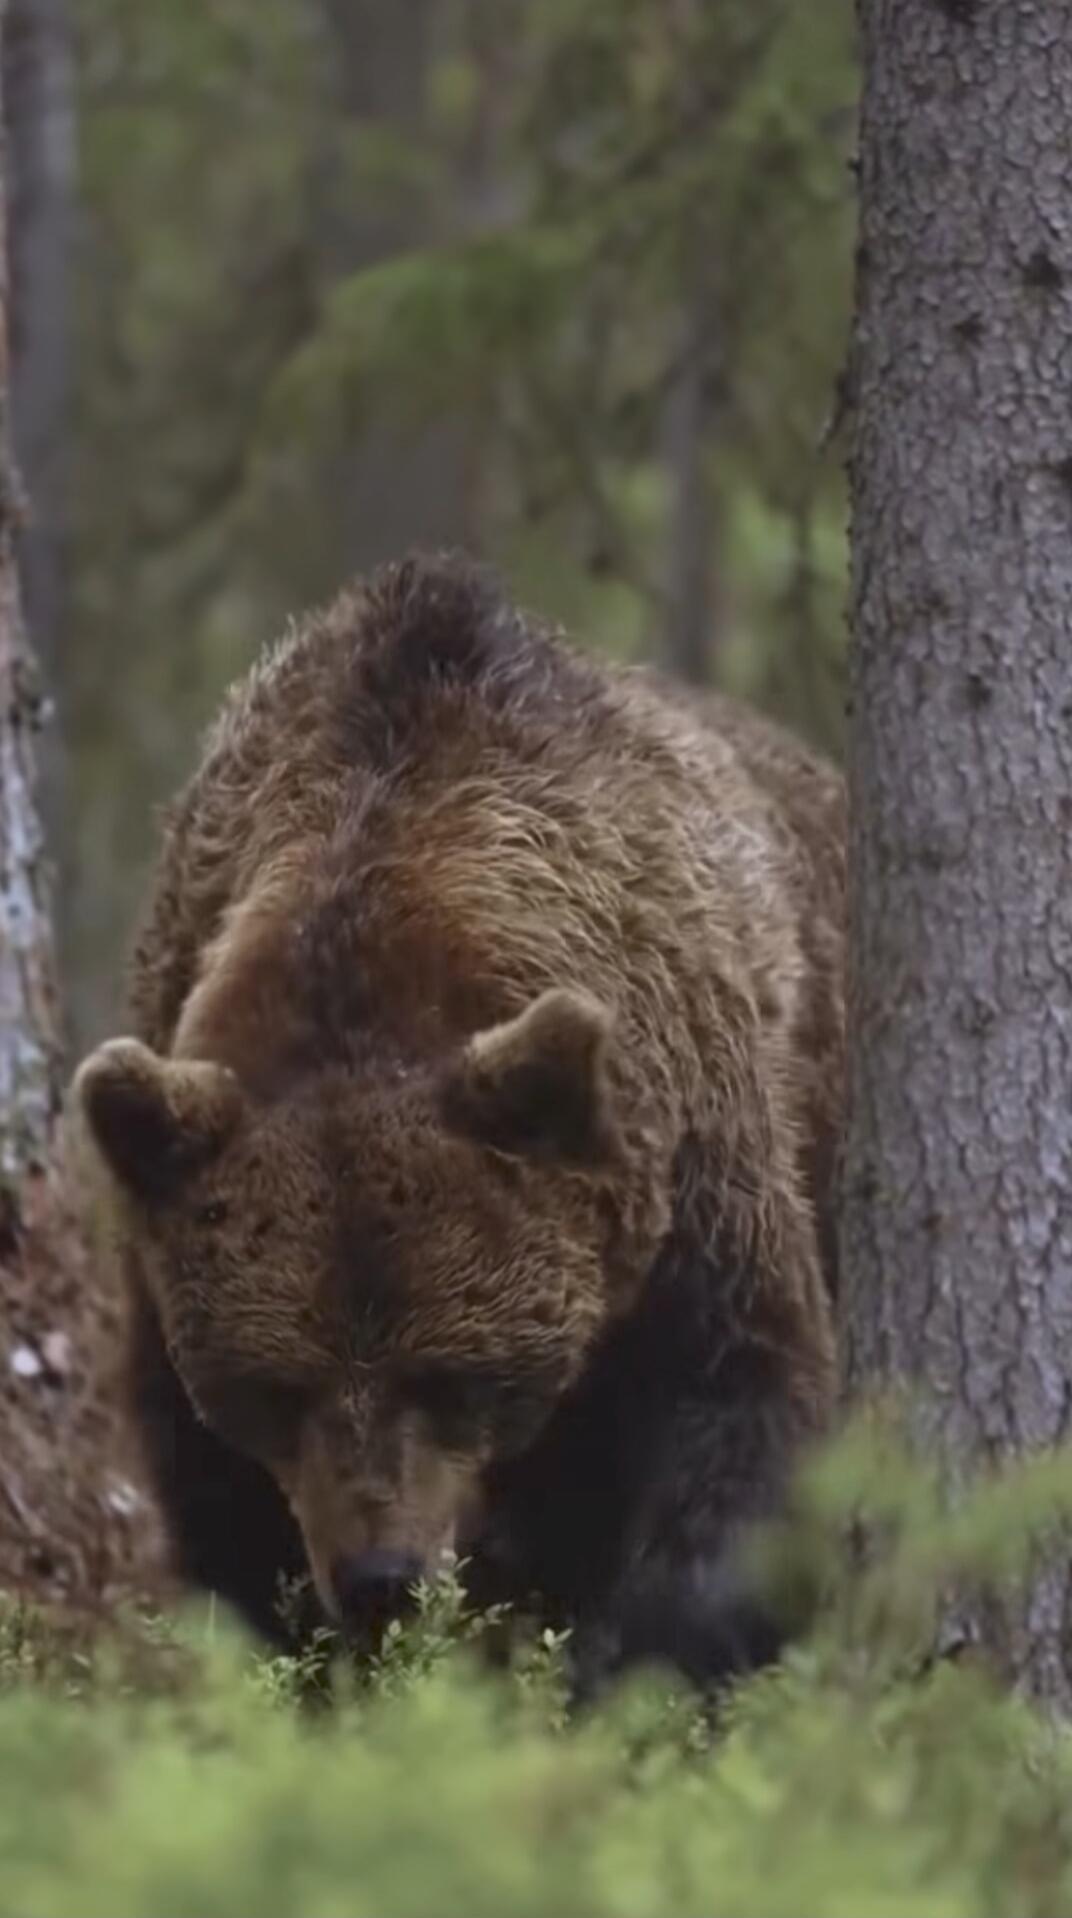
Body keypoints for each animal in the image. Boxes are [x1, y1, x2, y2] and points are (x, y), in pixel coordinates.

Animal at [74, 552, 845, 1691]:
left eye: (452, 1374)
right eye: (278, 1387)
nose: (381, 1578)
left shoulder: (690, 1148)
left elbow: (740, 1395)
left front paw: (631, 1671)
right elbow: (222, 1503)